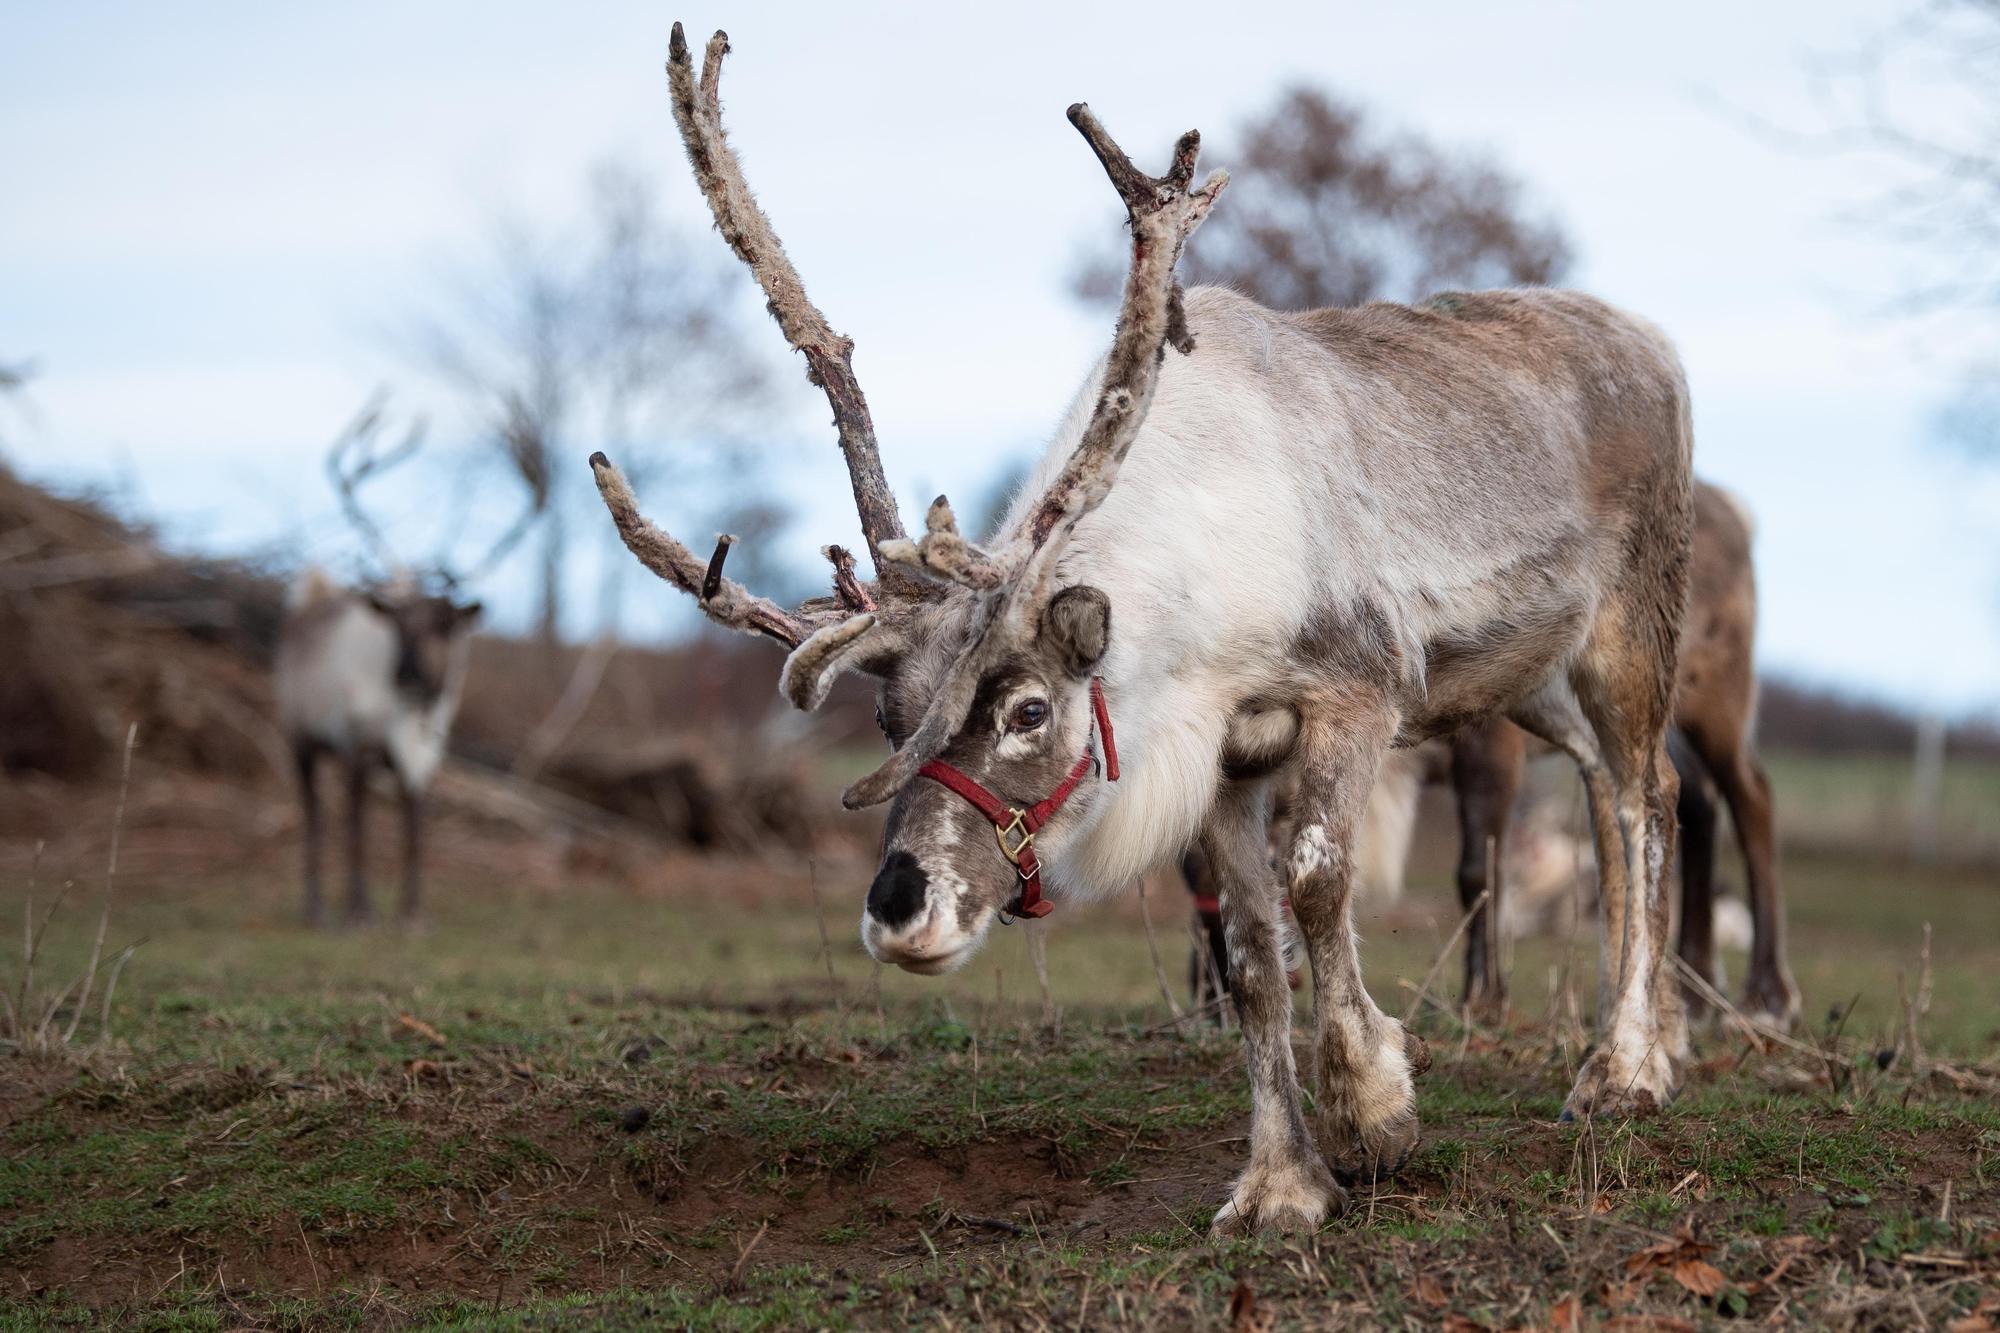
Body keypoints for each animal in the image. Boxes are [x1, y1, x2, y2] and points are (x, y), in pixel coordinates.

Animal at [274, 395, 532, 926]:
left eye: (444, 624)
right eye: (397, 623)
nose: (410, 674)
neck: (411, 715)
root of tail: (309, 603)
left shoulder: (424, 760)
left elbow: (415, 830)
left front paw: (413, 913)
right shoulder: (355, 748)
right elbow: (357, 828)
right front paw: (359, 911)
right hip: (301, 739)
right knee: (316, 816)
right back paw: (316, 908)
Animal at [595, 24, 1694, 1235]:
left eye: (1029, 709)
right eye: (888, 716)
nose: (898, 909)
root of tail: (1653, 341)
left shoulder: (1356, 689)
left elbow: (1317, 882)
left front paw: (1373, 1112)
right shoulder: (1219, 754)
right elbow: (1252, 954)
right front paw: (1277, 1183)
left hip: (1629, 629)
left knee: (1644, 798)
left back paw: (1623, 1070)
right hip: (1529, 679)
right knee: (1614, 790)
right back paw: (1654, 1046)